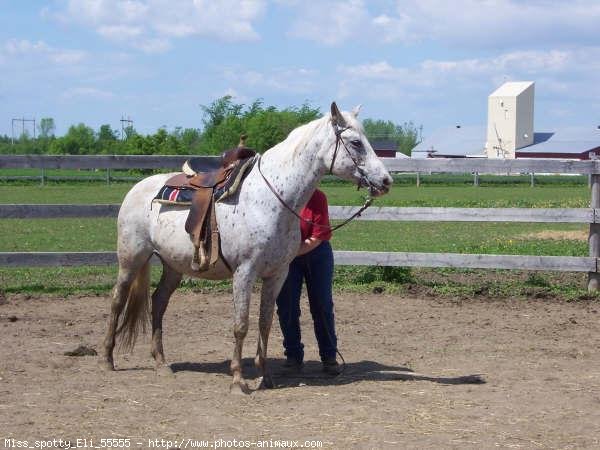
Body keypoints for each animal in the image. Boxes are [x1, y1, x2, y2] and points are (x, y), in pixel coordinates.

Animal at [102, 102, 394, 394]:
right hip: (131, 259)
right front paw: (238, 380)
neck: (270, 199)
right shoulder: (244, 272)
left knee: (159, 302)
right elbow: (241, 325)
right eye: (356, 143)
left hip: (173, 265)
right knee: (117, 300)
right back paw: (107, 359)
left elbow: (265, 323)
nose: (386, 181)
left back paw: (161, 363)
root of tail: (137, 188)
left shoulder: (277, 275)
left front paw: (266, 377)